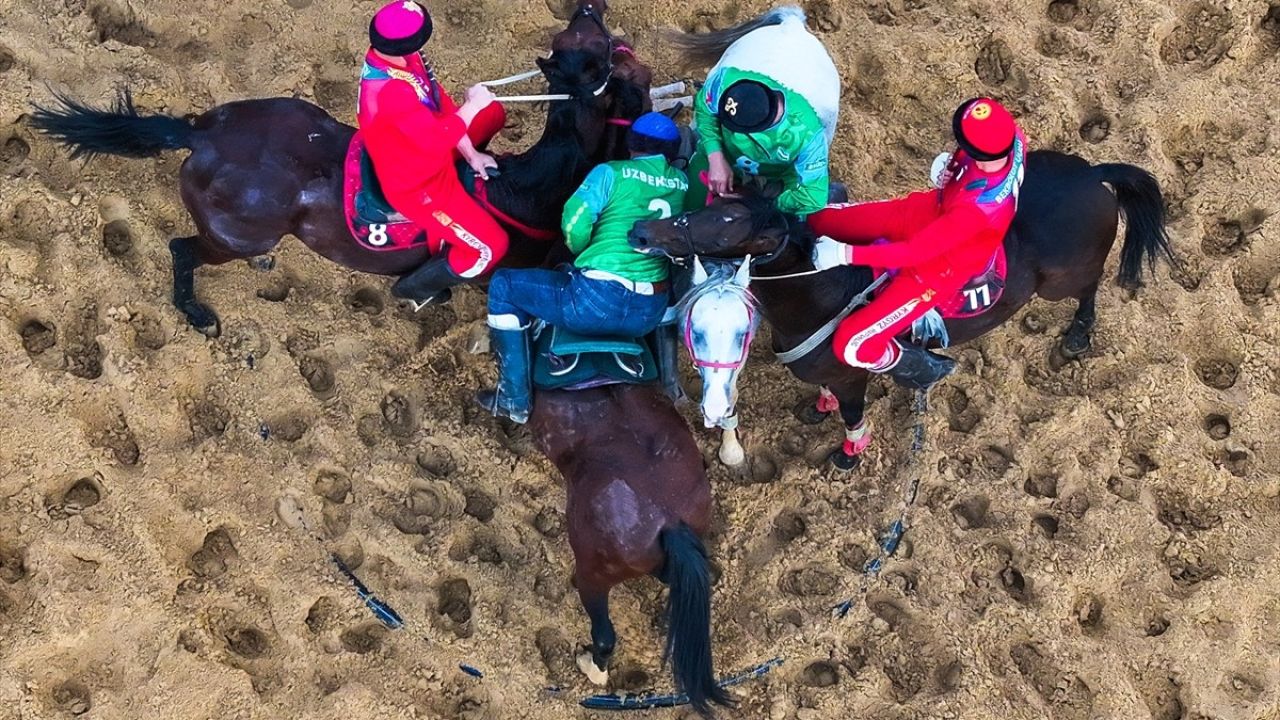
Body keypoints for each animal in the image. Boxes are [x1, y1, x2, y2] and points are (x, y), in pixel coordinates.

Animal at [27, 0, 650, 335]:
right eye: (588, 48)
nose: (589, 6)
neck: (522, 189)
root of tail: (201, 132)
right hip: (239, 237)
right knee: (183, 250)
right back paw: (197, 312)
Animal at [624, 148, 1172, 468]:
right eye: (711, 204)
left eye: (727, 224)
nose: (641, 231)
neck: (823, 294)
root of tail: (1091, 173)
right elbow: (823, 394)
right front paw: (816, 409)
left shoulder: (854, 375)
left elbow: (851, 413)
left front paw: (848, 455)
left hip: (1065, 280)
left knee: (1090, 289)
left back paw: (1077, 337)